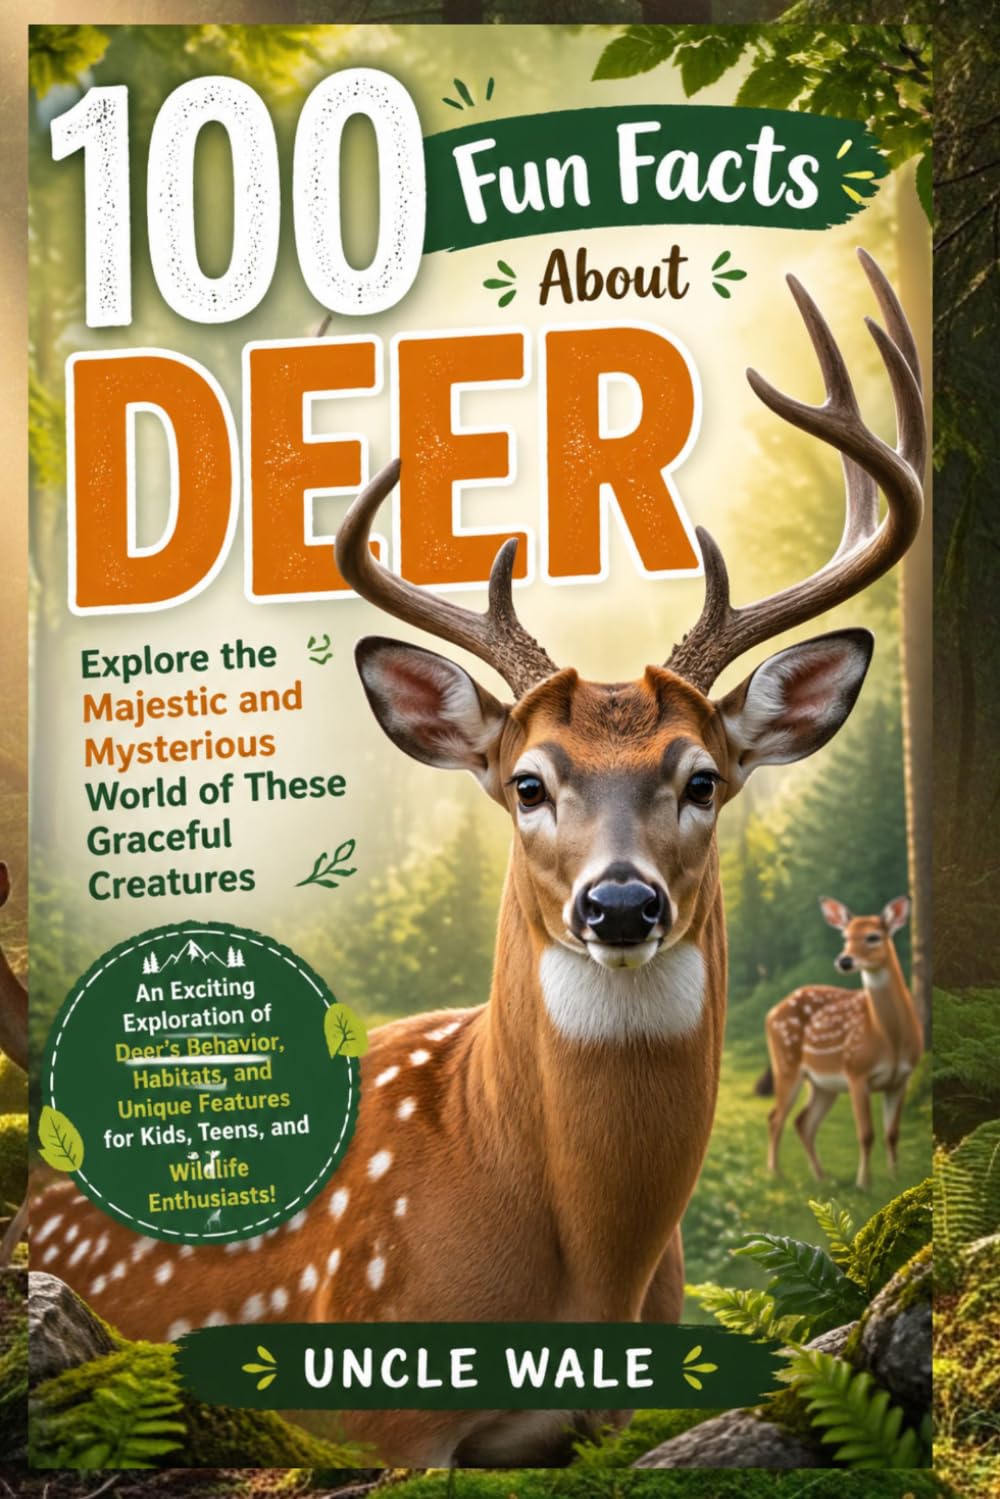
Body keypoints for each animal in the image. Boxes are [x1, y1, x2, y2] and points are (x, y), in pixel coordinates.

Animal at [761, 895, 923, 1192]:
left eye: (873, 936)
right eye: (845, 937)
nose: (844, 960)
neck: (889, 1039)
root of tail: (772, 1011)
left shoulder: (902, 1078)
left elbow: (893, 1133)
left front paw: (895, 1179)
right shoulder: (856, 1070)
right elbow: (866, 1133)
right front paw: (863, 1183)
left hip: (823, 1084)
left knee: (803, 1122)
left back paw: (822, 1176)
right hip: (786, 1063)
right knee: (776, 1117)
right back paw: (775, 1172)